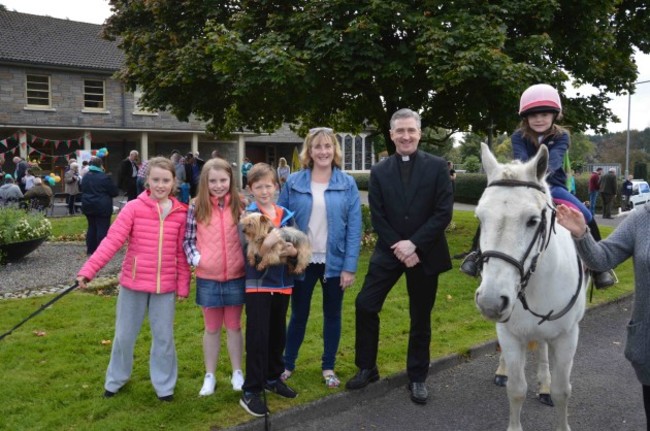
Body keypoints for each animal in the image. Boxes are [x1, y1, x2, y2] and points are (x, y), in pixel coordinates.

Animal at [474, 143, 584, 430]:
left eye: (533, 220)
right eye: (480, 218)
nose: (491, 301)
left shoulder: (567, 337)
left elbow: (562, 391)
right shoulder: (510, 334)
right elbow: (515, 390)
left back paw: (544, 384)